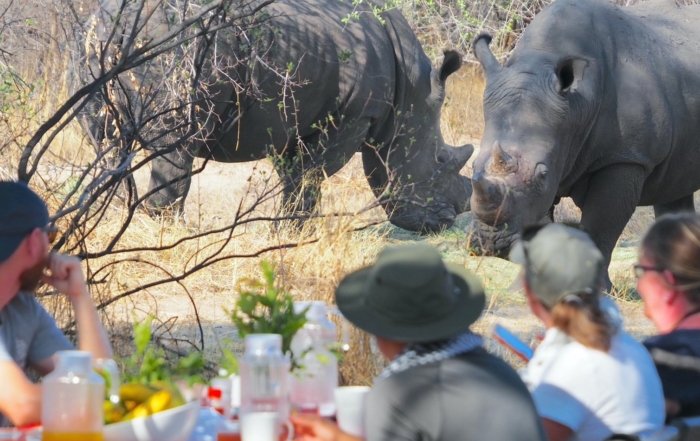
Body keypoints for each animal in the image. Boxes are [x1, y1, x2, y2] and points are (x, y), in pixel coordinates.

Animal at [79, 0, 474, 232]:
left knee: (104, 137)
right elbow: (312, 173)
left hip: (97, 40)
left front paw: (286, 227)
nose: (447, 220)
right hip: (177, 44)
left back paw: (113, 212)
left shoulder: (293, 116)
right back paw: (167, 229)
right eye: (441, 159)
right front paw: (296, 232)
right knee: (177, 141)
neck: (412, 93)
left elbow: (294, 173)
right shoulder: (355, 115)